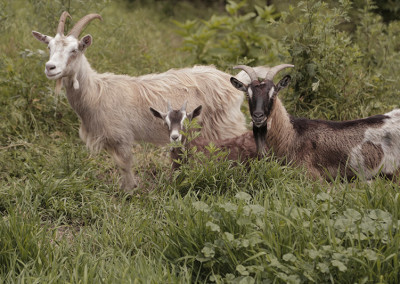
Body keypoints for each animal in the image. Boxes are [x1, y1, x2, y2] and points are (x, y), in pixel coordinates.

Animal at [31, 12, 268, 192]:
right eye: (49, 47)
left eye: (74, 50)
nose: (50, 68)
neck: (97, 92)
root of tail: (234, 81)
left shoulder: (122, 136)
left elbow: (125, 165)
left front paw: (128, 193)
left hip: (226, 125)